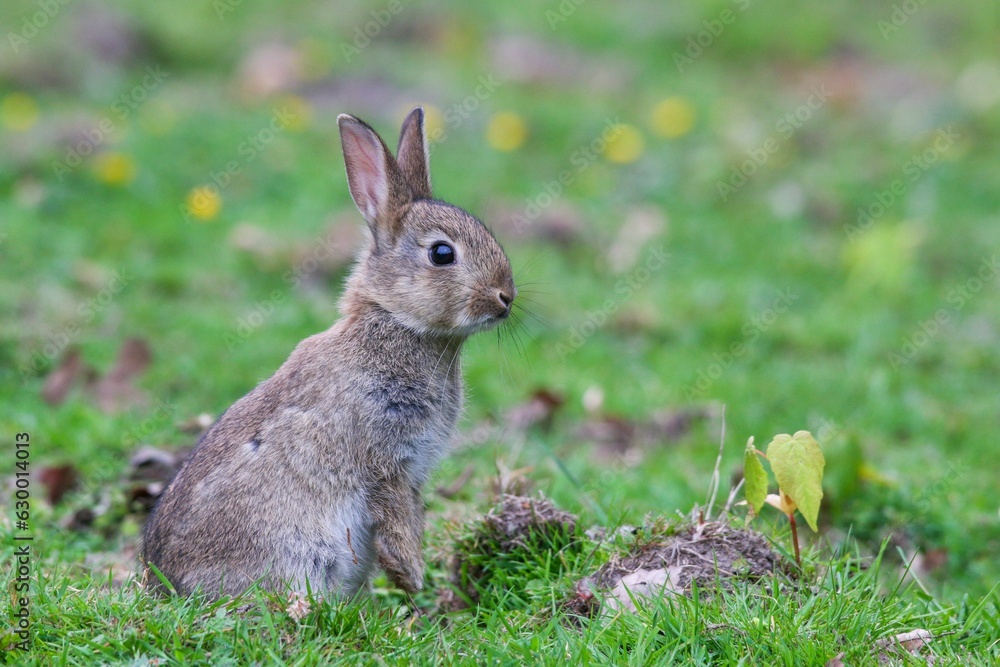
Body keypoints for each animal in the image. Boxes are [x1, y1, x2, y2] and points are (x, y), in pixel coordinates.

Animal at [142, 107, 517, 599]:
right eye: (441, 253)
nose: (506, 297)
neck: (395, 322)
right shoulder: (384, 462)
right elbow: (397, 523)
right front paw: (414, 583)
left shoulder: (411, 471)